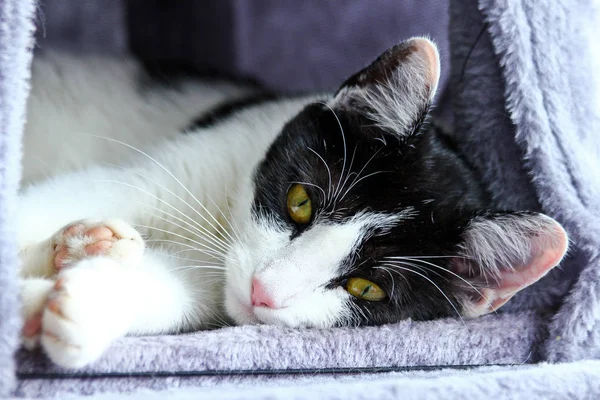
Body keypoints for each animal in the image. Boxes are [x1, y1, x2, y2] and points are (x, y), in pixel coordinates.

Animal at [18, 38, 568, 368]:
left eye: (366, 287)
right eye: (300, 201)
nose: (263, 289)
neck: (222, 221)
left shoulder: (219, 292)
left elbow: (175, 289)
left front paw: (76, 304)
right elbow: (82, 193)